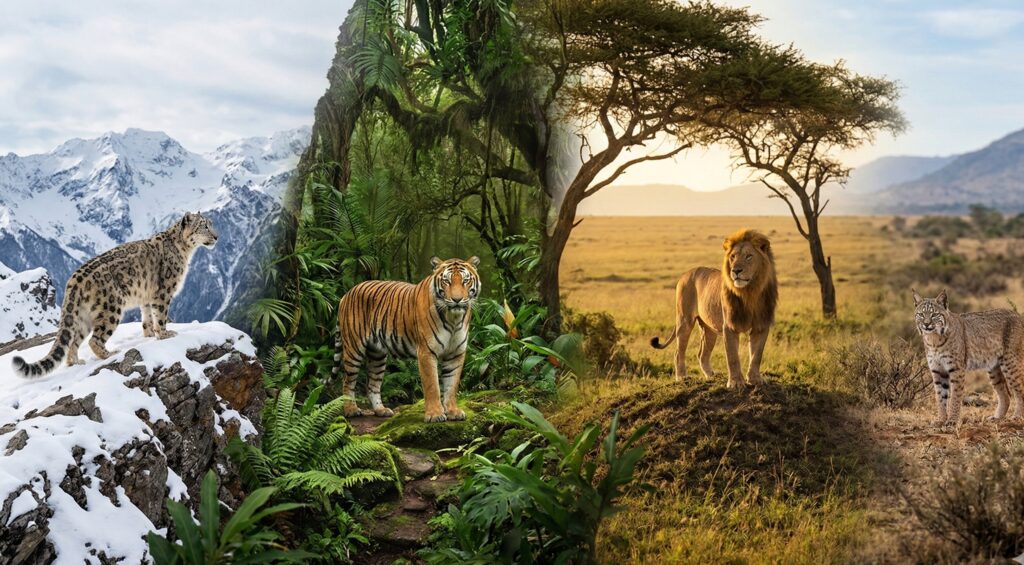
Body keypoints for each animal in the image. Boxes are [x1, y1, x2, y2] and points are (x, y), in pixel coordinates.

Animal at [332, 256, 481, 423]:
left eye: (465, 281)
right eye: (446, 281)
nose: (457, 300)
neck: (453, 319)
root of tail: (347, 293)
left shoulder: (456, 353)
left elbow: (452, 385)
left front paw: (453, 411)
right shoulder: (426, 351)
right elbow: (432, 385)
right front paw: (435, 414)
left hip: (377, 354)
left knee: (372, 385)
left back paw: (381, 410)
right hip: (354, 350)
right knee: (347, 382)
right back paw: (351, 410)